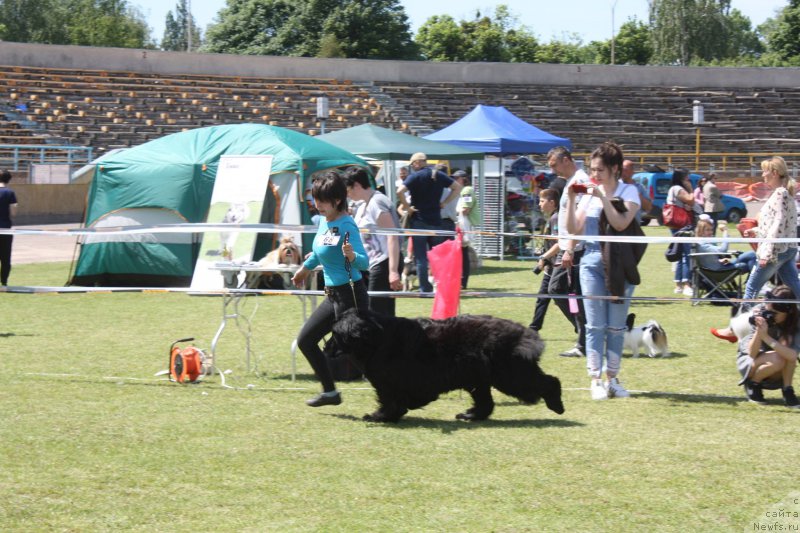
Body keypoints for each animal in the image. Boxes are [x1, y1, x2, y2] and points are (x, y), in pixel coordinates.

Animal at [332, 306, 564, 422]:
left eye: (335, 334)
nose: (328, 348)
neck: (376, 338)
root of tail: (522, 334)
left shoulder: (387, 383)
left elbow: (390, 402)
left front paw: (378, 417)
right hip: (480, 378)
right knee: (486, 404)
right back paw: (469, 415)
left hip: (509, 376)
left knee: (549, 382)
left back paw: (556, 405)